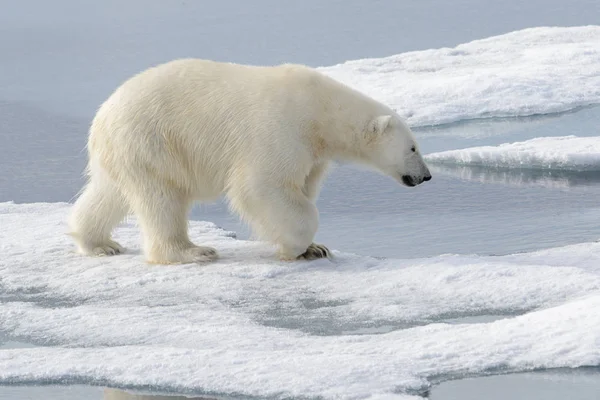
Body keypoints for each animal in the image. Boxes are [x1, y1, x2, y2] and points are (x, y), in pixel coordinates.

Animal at [68, 57, 428, 262]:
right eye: (413, 148)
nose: (426, 176)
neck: (320, 112)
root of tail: (102, 117)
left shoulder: (313, 155)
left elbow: (302, 187)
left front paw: (316, 248)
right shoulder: (281, 130)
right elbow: (262, 188)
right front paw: (297, 247)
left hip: (128, 153)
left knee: (110, 193)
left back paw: (98, 243)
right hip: (154, 140)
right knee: (162, 200)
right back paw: (192, 251)